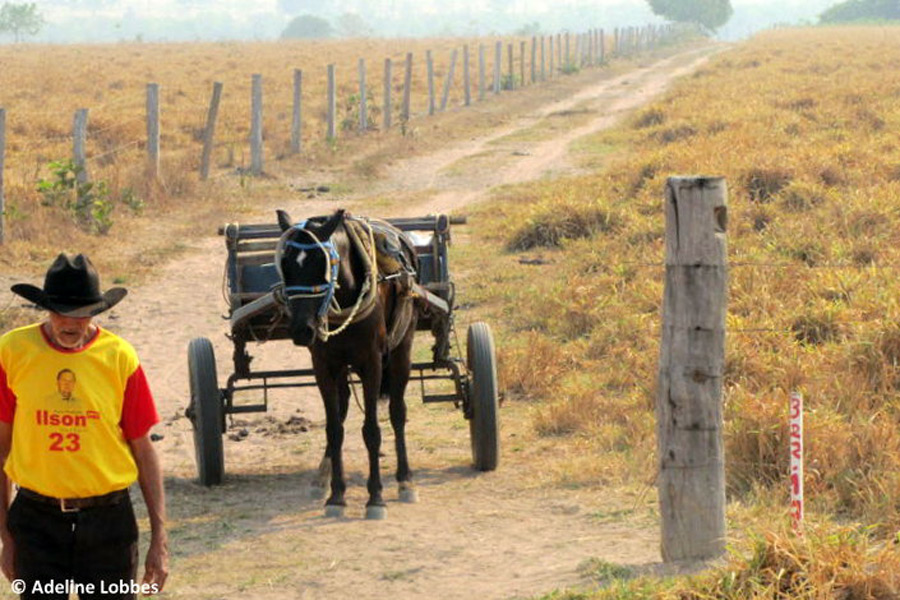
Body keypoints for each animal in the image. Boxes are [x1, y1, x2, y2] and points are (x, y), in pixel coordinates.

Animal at [272, 209, 420, 516]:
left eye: (321, 264)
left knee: (398, 413)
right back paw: (322, 477)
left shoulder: (372, 363)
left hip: (402, 350)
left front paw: (375, 497)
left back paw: (405, 480)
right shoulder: (324, 365)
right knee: (341, 411)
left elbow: (372, 431)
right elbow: (334, 429)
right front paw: (336, 496)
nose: (302, 330)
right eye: (285, 265)